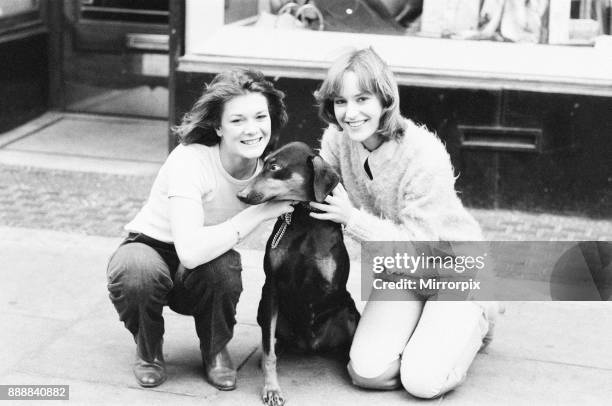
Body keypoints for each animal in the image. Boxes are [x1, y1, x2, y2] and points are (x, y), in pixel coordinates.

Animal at [237, 142, 360, 406]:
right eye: (263, 163)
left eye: (275, 167)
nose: (241, 195)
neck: (304, 219)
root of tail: (310, 347)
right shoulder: (272, 287)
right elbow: (269, 353)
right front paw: (271, 389)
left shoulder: (328, 286)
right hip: (264, 309)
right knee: (273, 342)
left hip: (349, 311)